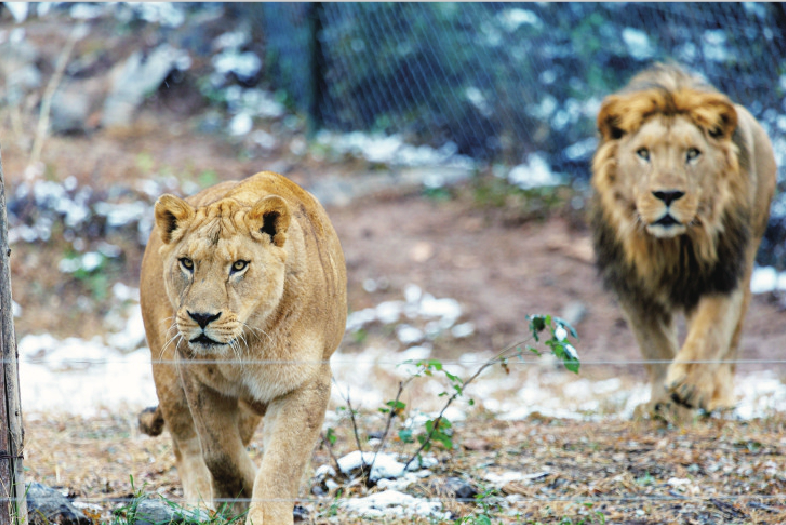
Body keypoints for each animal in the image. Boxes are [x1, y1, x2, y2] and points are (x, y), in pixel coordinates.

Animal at [138, 170, 346, 520]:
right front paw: (238, 497)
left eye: (238, 266)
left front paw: (264, 516)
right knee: (187, 447)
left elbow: (281, 464)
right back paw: (198, 508)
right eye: (187, 263)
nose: (202, 316)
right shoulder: (198, 378)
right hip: (167, 376)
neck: (249, 342)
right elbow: (219, 452)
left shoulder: (307, 384)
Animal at [592, 63, 776, 414]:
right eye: (643, 154)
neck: (669, 246)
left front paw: (690, 387)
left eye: (692, 154)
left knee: (730, 342)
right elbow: (654, 345)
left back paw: (718, 398)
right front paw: (663, 402)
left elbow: (712, 329)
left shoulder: (724, 271)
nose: (667, 194)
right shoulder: (632, 286)